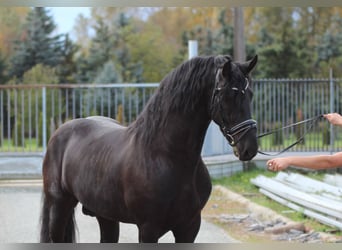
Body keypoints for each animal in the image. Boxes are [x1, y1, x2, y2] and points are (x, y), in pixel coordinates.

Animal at [39, 54, 256, 242]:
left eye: (250, 94)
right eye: (228, 95)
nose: (249, 147)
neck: (166, 156)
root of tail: (60, 132)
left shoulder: (190, 227)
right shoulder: (148, 229)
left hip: (105, 215)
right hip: (59, 206)